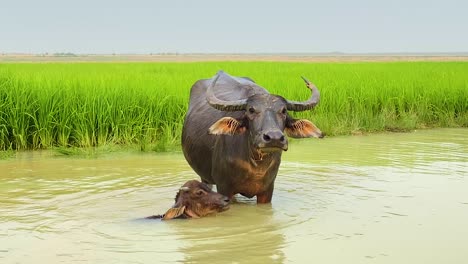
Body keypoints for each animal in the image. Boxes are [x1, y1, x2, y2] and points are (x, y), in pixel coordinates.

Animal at [181, 70, 324, 204]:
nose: (274, 138)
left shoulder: (267, 190)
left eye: (283, 111)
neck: (256, 164)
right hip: (205, 178)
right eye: (251, 110)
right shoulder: (224, 187)